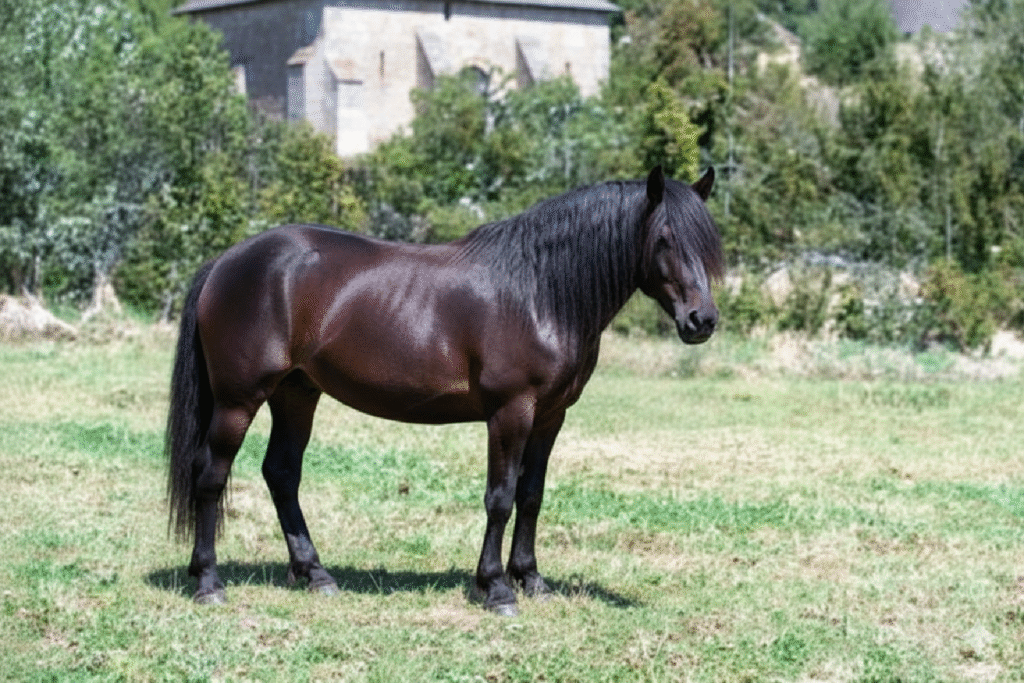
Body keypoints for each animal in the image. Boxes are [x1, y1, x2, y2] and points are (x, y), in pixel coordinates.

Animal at [166, 166, 724, 615]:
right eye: (665, 237)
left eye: (707, 241)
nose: (702, 321)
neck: (538, 292)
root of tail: (226, 262)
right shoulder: (510, 412)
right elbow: (500, 497)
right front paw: (496, 588)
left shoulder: (550, 416)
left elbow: (532, 495)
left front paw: (532, 579)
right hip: (239, 400)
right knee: (211, 476)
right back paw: (209, 582)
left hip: (296, 393)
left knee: (281, 473)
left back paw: (316, 574)